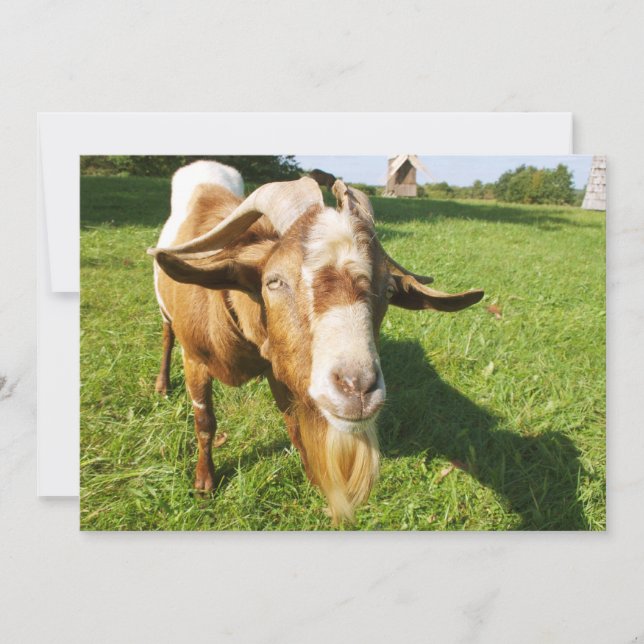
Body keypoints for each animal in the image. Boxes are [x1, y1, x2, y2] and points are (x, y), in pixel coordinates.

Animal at [149, 160, 483, 524]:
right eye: (274, 281)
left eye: (389, 290)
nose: (357, 388)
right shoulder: (195, 360)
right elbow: (205, 421)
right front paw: (204, 482)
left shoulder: (279, 369)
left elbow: (293, 424)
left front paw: (311, 477)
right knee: (166, 335)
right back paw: (162, 384)